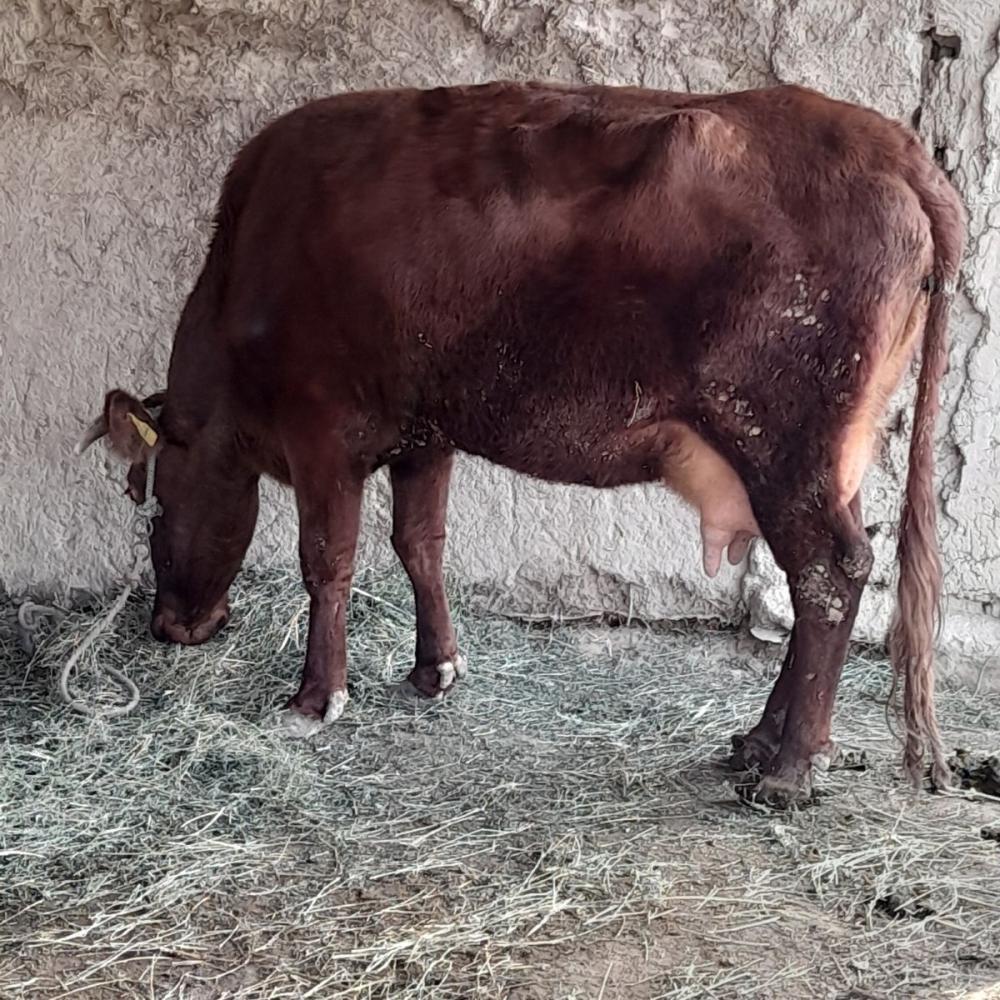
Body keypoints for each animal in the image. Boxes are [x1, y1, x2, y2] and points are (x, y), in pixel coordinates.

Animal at [79, 81, 965, 807]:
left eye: (150, 503)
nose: (171, 627)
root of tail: (892, 144)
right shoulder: (424, 432)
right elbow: (420, 545)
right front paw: (436, 668)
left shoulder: (321, 429)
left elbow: (327, 562)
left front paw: (315, 698)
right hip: (822, 460)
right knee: (829, 579)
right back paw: (757, 742)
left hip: (784, 445)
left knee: (829, 576)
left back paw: (789, 768)